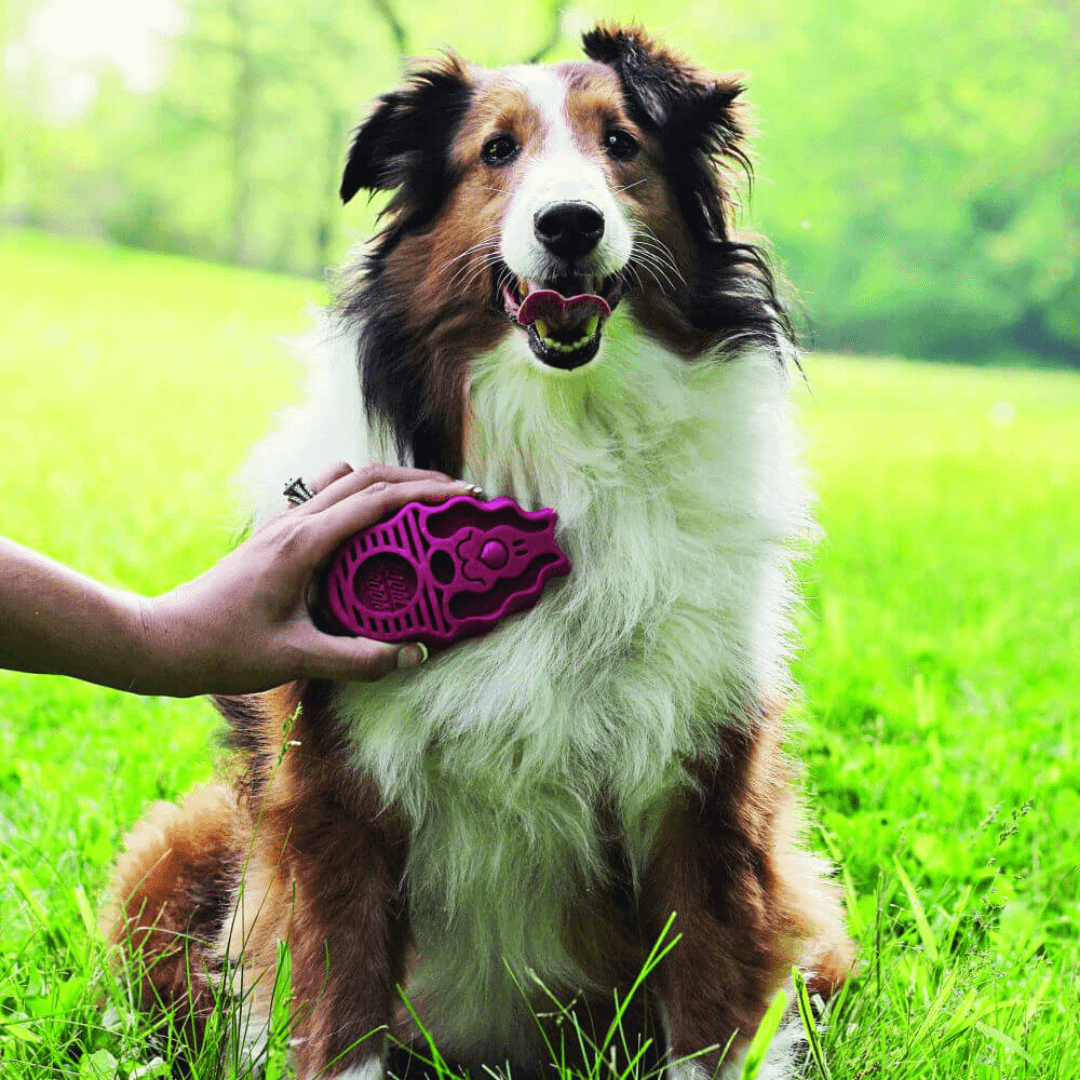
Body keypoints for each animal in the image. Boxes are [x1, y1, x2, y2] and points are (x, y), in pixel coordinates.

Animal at [105, 25, 855, 1080]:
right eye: (496, 152)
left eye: (621, 143)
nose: (570, 225)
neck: (562, 449)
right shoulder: (335, 790)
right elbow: (341, 1011)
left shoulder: (703, 782)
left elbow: (709, 1001)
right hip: (174, 857)